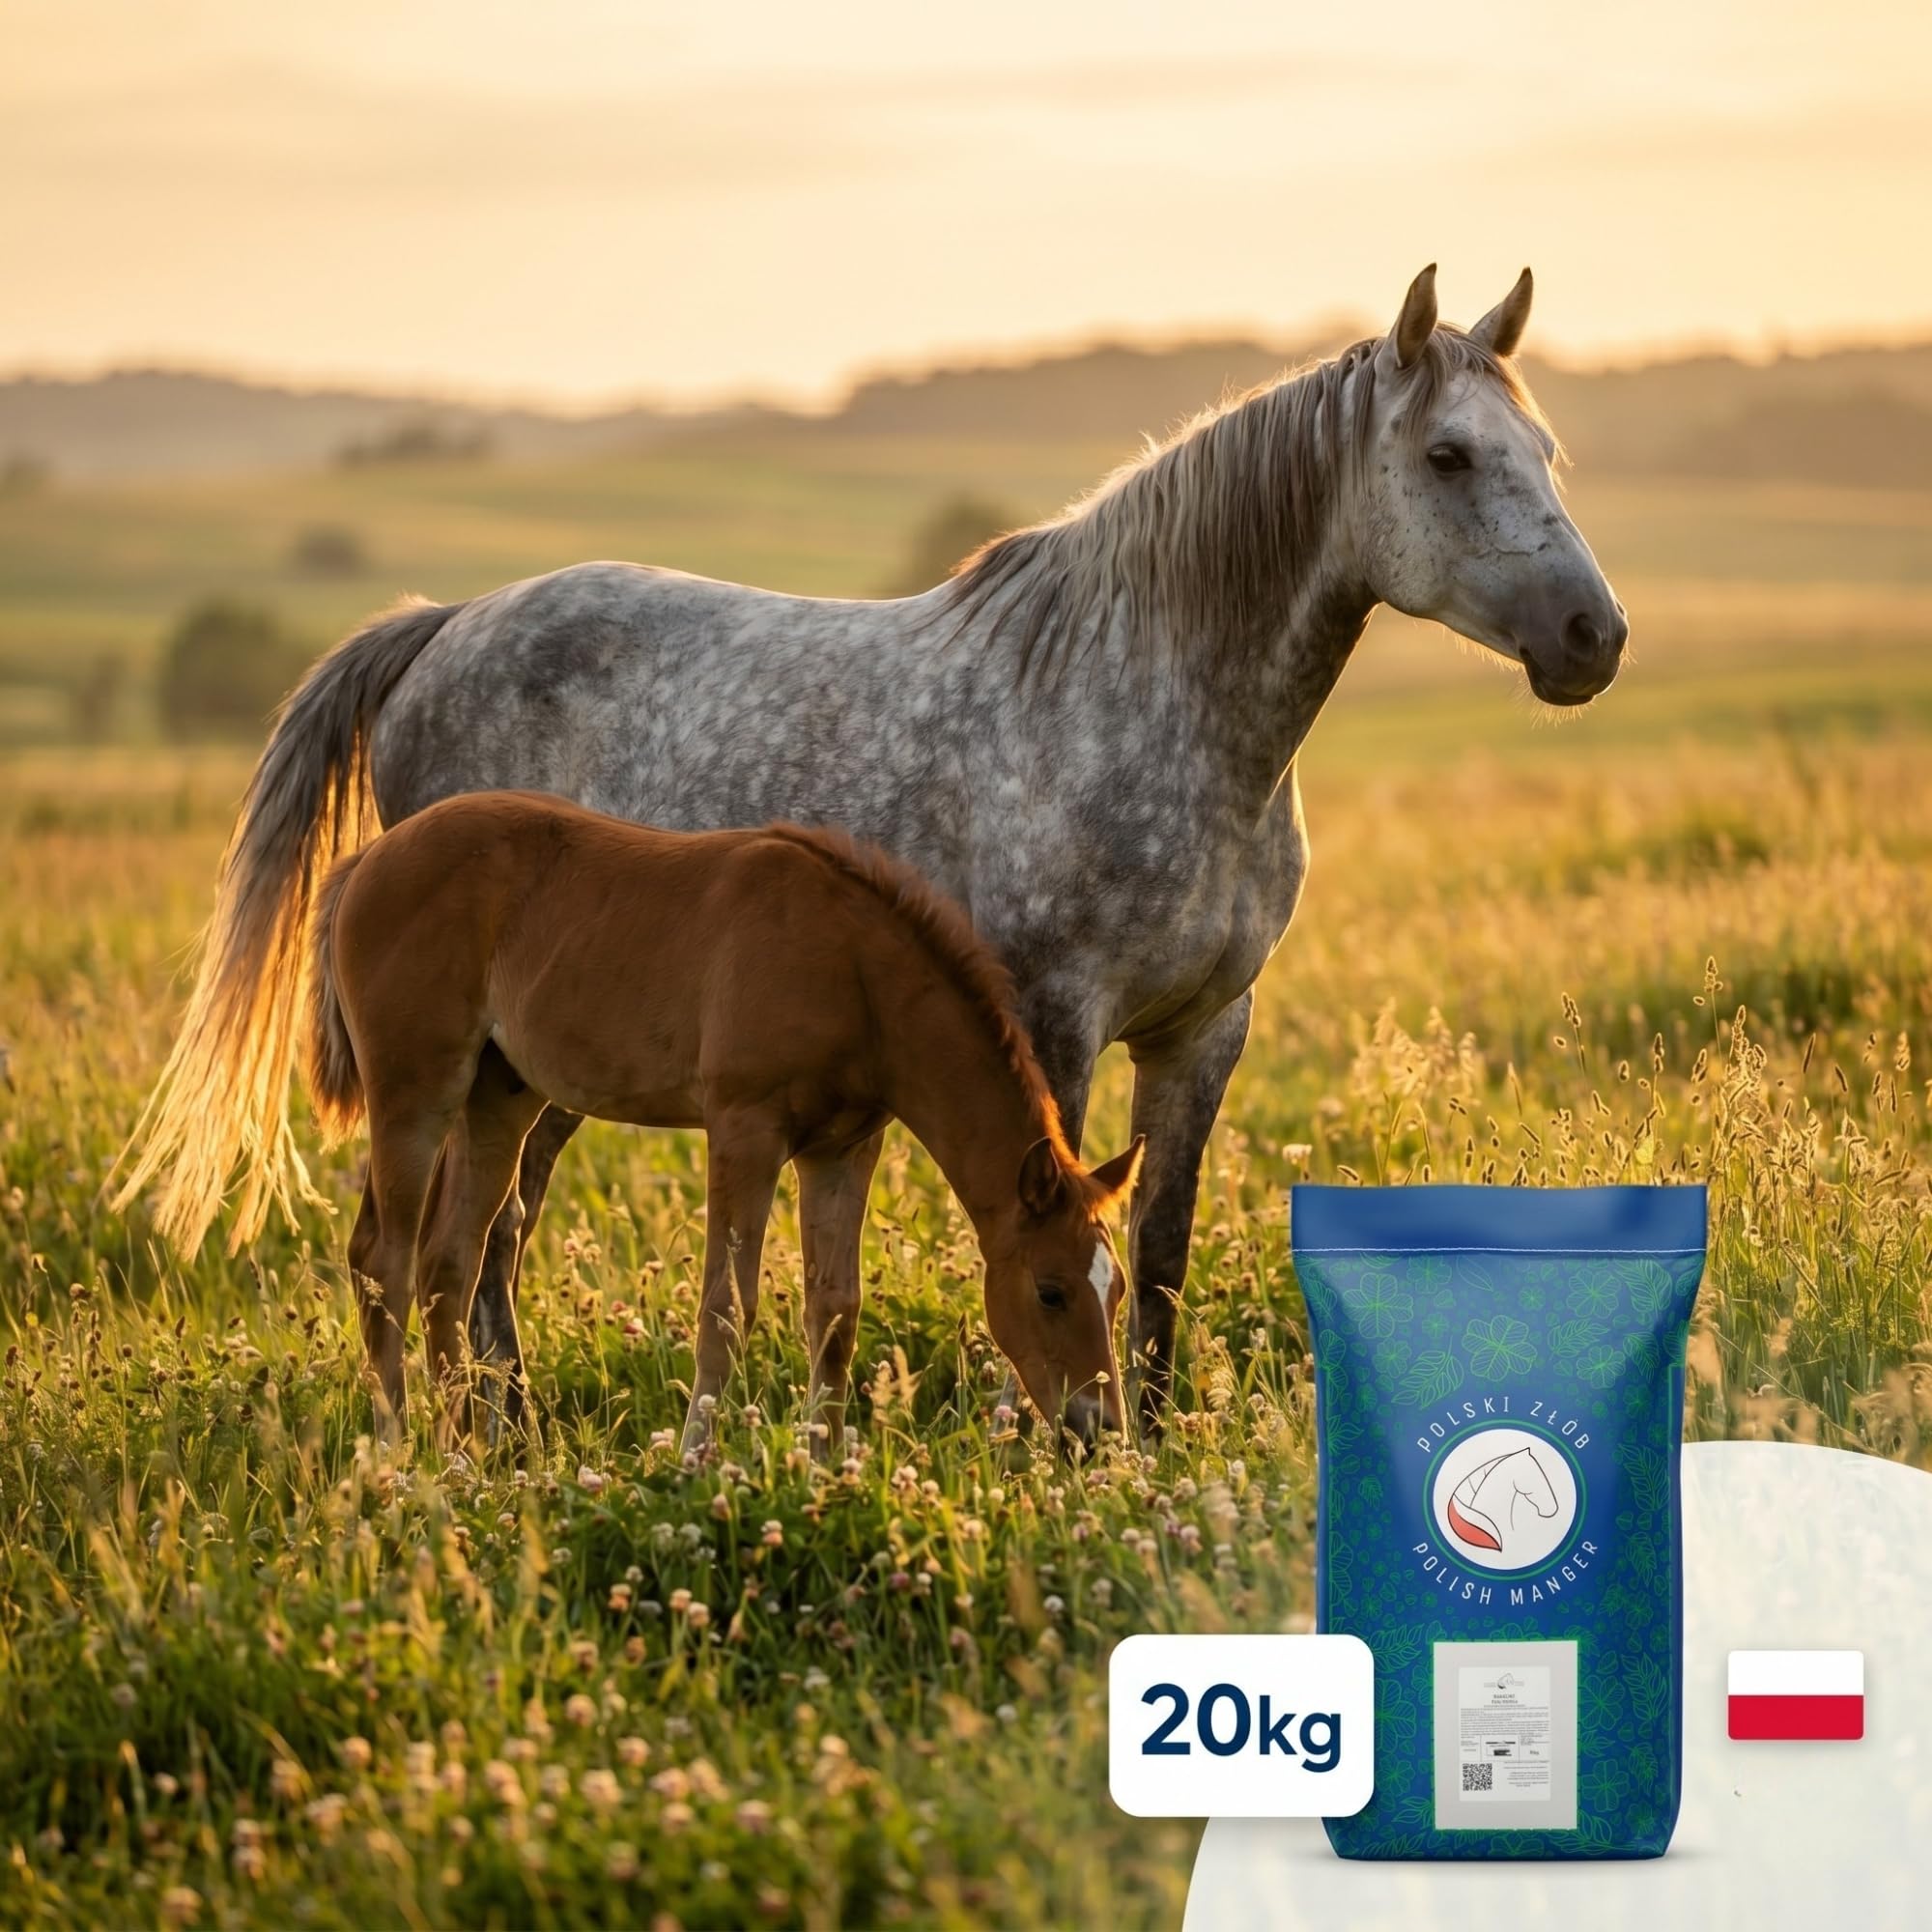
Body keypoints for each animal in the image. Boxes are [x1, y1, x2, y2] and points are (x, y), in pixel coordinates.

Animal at [302, 790, 1144, 1452]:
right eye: (1050, 1291)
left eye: (1117, 1291)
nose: (1099, 1429)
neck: (853, 969)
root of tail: (365, 860)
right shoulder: (745, 1129)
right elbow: (726, 1307)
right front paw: (695, 1460)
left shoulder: (843, 1147)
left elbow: (835, 1311)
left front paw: (824, 1465)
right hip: (416, 1091)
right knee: (384, 1258)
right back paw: (400, 1451)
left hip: (498, 1098)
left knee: (449, 1259)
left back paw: (465, 1454)